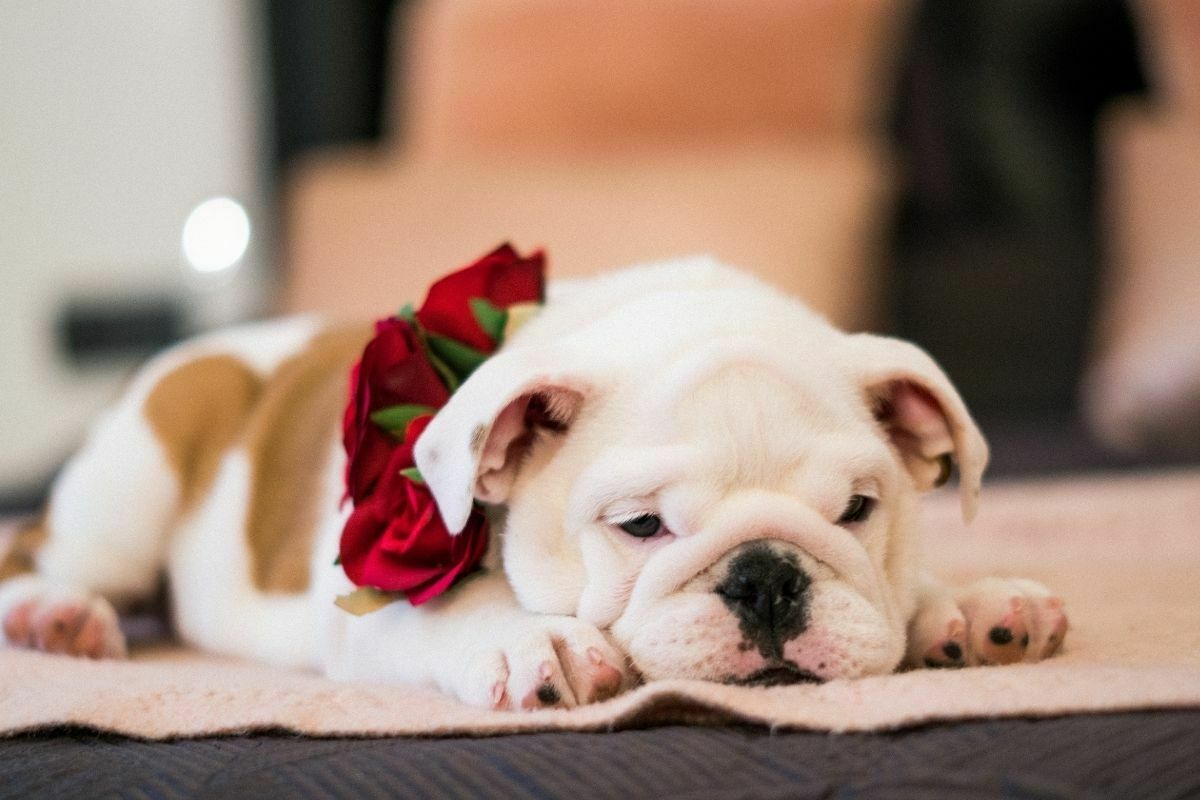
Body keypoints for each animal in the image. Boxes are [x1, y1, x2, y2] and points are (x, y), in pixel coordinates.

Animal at [0, 260, 1070, 710]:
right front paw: (534, 642)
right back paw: (60, 616)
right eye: (639, 527)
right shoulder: (368, 608)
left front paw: (966, 604)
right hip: (129, 492)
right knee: (38, 552)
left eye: (856, 511)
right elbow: (457, 611)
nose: (766, 577)